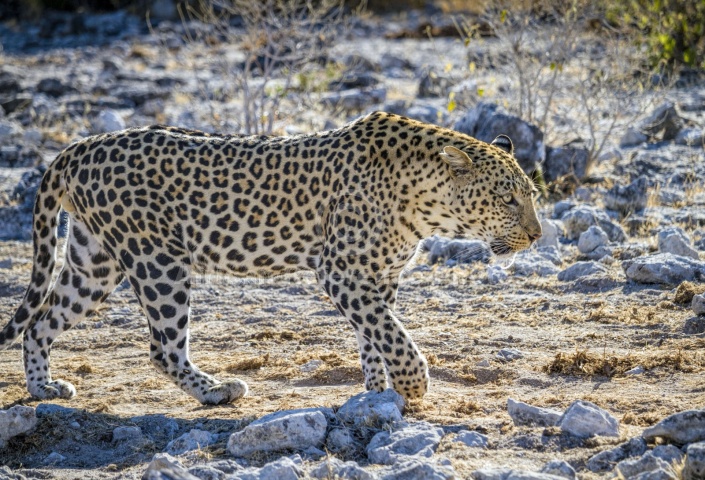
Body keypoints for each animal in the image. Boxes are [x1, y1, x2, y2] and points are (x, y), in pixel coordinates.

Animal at [0, 111, 540, 404]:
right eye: (508, 199)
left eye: (532, 195)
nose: (536, 236)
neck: (425, 204)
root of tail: (81, 144)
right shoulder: (341, 272)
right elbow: (391, 333)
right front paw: (411, 384)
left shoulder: (379, 276)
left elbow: (374, 334)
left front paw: (377, 391)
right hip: (158, 260)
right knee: (163, 347)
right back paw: (217, 391)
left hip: (94, 262)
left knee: (41, 322)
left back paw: (43, 389)